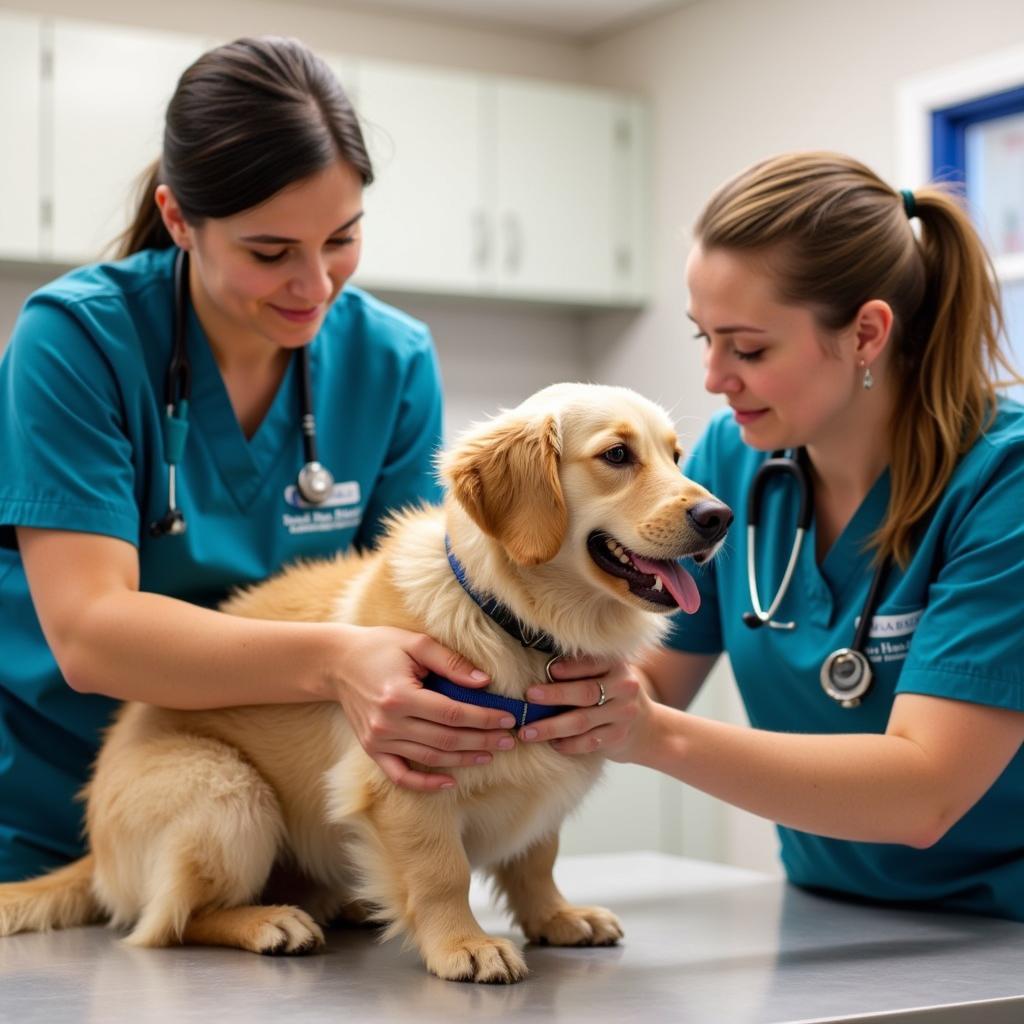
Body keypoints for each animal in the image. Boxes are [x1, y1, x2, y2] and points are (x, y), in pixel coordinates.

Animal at [2, 380, 737, 978]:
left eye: (677, 456)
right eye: (616, 455)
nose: (720, 518)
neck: (517, 622)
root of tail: (95, 854)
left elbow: (536, 857)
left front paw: (556, 916)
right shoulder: (405, 777)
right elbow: (441, 872)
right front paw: (462, 945)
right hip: (229, 793)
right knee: (169, 925)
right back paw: (270, 920)